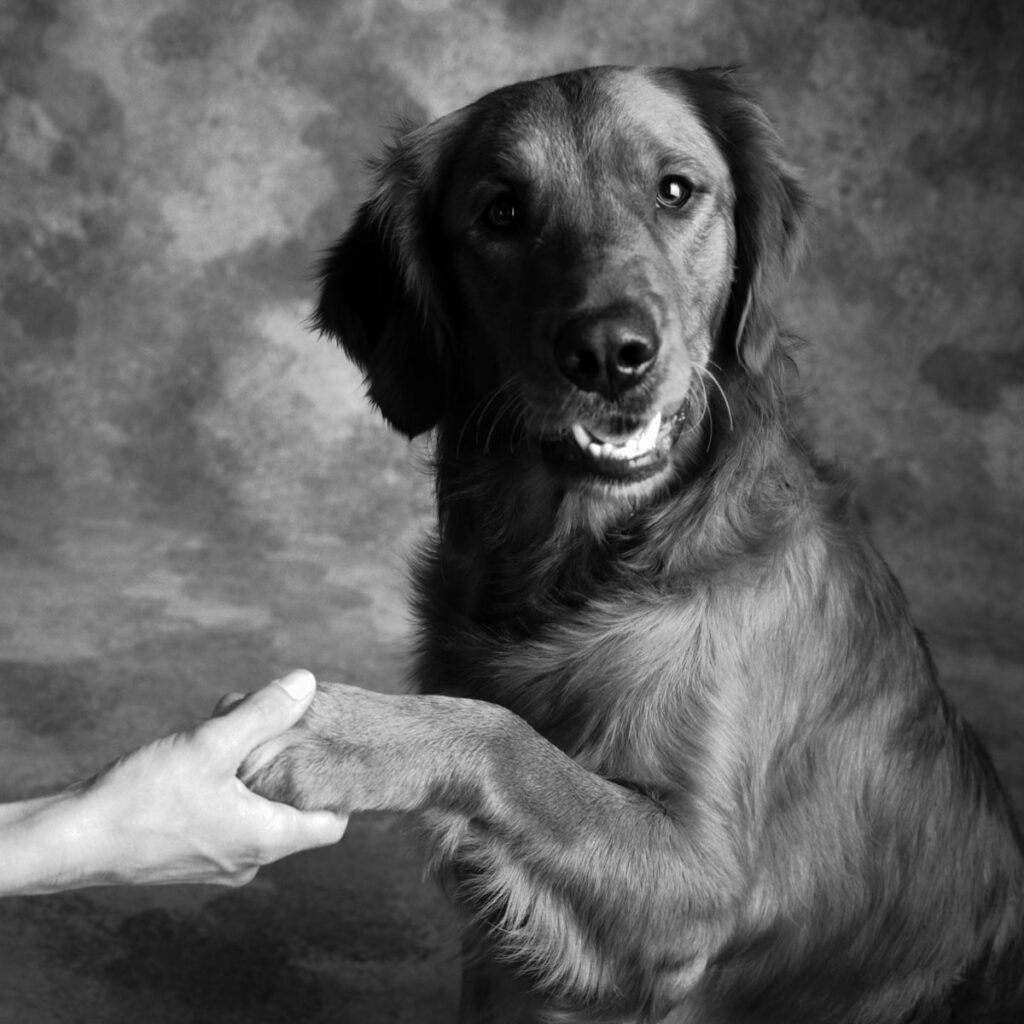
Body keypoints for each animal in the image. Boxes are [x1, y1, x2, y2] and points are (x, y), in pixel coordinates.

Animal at [247, 68, 1024, 1019]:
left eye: (676, 191)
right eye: (502, 213)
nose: (609, 352)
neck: (586, 564)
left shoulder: (702, 883)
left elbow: (511, 739)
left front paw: (340, 729)